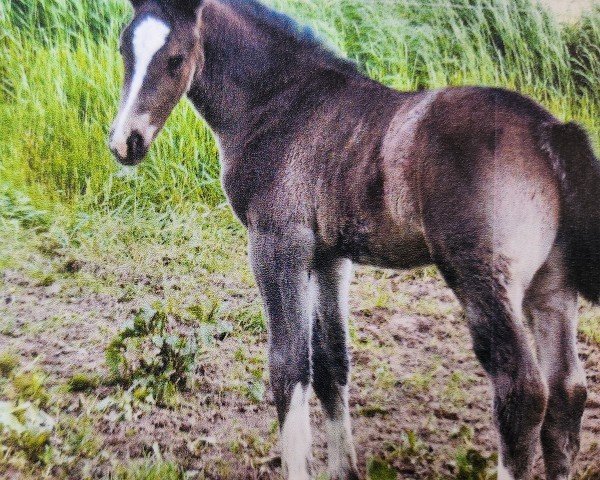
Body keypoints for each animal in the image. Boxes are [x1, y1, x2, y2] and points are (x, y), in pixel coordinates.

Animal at [109, 1, 600, 478]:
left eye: (175, 59)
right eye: (123, 49)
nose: (124, 142)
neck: (280, 104)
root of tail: (549, 130)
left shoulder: (278, 244)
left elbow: (289, 366)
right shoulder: (329, 256)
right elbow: (331, 363)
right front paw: (344, 469)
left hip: (482, 280)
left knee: (522, 392)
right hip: (552, 286)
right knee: (567, 393)